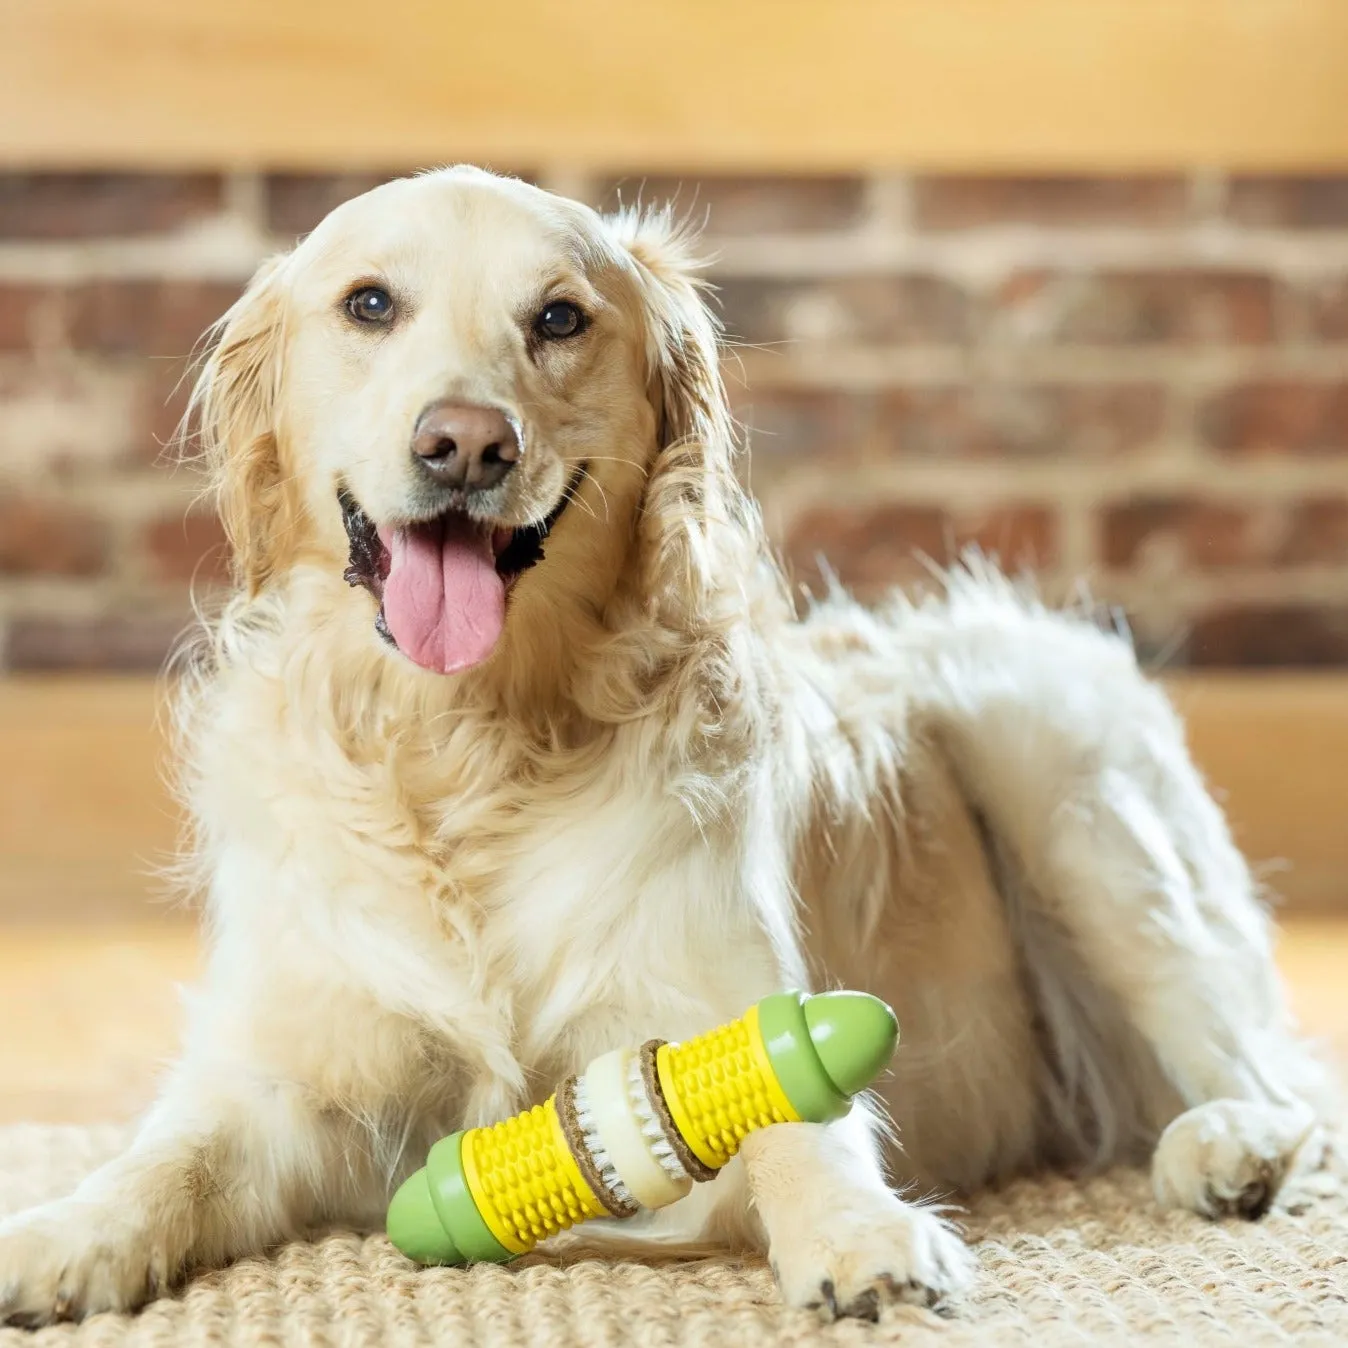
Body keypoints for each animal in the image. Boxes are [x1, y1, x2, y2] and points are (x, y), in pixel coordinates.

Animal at [0, 168, 1331, 1326]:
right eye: (369, 304)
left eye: (558, 317)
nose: (464, 444)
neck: (466, 747)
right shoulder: (284, 1070)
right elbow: (170, 1154)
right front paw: (61, 1232)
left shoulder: (716, 1014)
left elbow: (797, 1127)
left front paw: (860, 1235)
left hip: (1059, 764)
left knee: (1264, 1065)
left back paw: (1233, 1145)